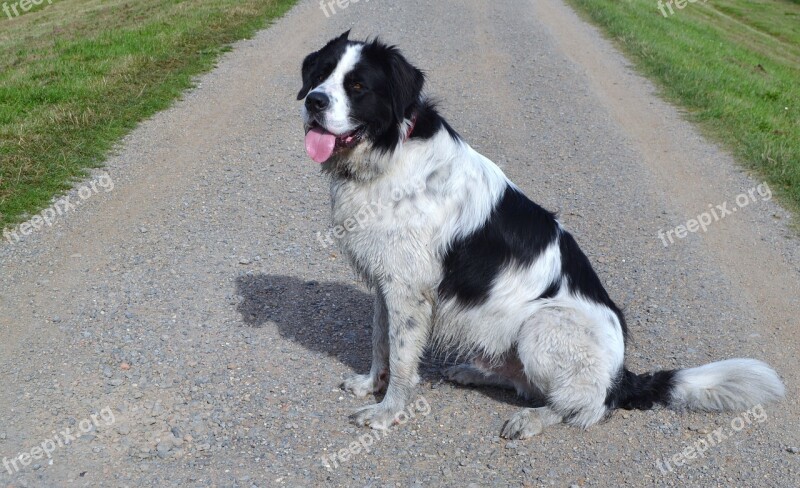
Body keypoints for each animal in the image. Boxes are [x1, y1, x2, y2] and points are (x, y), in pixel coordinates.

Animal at [296, 31, 784, 438]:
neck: (389, 150)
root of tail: (622, 375)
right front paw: (370, 385)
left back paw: (532, 419)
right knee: (529, 384)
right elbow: (381, 341)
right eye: (319, 75)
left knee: (586, 406)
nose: (314, 102)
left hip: (542, 324)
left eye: (358, 86)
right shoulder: (387, 280)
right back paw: (475, 373)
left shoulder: (408, 288)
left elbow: (400, 358)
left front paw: (388, 412)